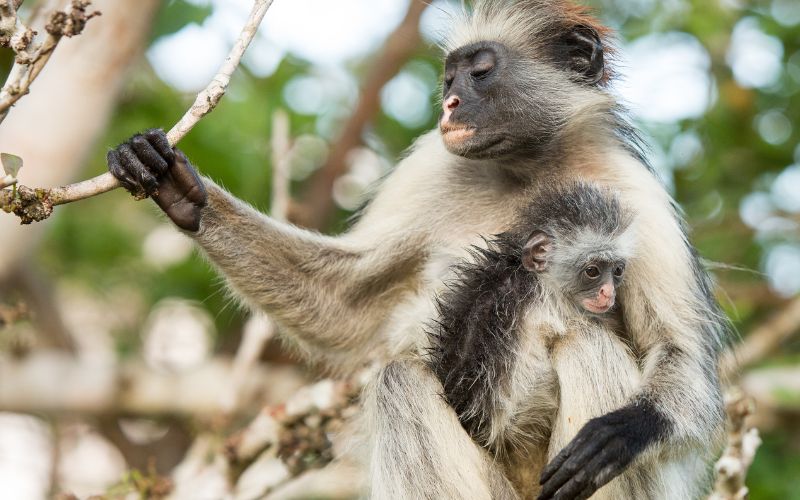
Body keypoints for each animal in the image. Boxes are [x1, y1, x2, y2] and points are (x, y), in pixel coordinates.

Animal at [109, 0, 728, 500]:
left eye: (481, 72)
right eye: (450, 75)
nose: (451, 102)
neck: (531, 169)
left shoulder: (639, 196)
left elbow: (682, 357)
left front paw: (628, 429)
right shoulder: (436, 161)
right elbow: (345, 306)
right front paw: (182, 191)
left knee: (589, 345)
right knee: (398, 381)